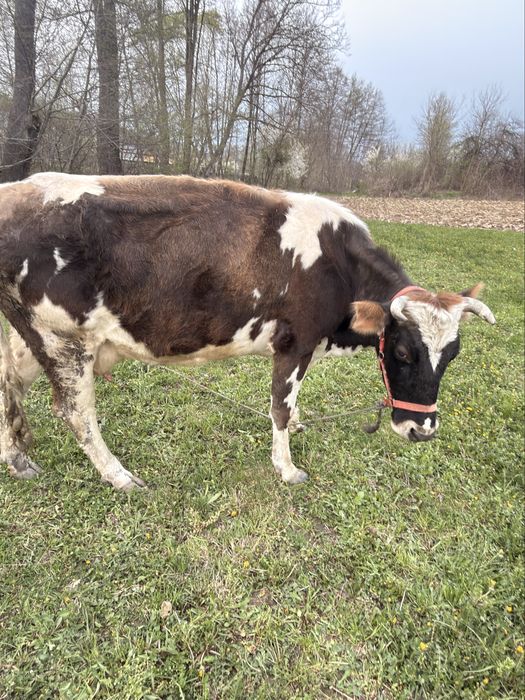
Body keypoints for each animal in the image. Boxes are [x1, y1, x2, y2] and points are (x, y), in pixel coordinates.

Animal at [0, 173, 495, 491]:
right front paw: (287, 468)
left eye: (452, 354)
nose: (422, 430)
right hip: (64, 340)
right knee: (76, 413)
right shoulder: (294, 341)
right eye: (405, 352)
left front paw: (297, 428)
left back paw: (18, 460)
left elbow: (291, 404)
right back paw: (119, 477)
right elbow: (279, 405)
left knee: (10, 383)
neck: (336, 263)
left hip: (33, 337)